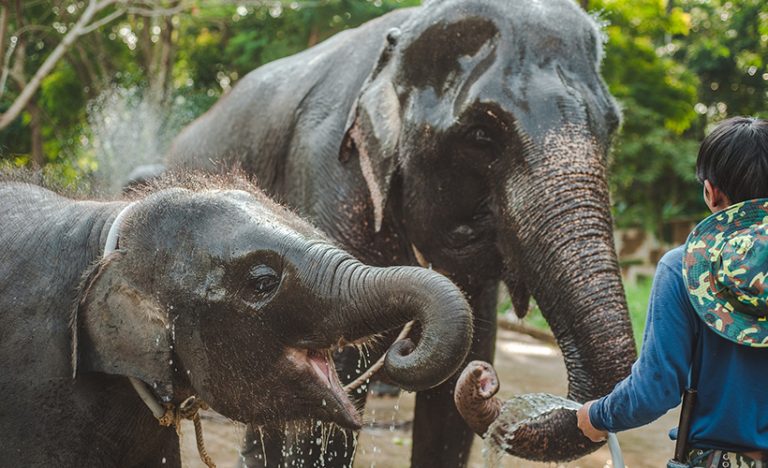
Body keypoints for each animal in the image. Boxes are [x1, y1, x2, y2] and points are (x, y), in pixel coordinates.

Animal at [164, 0, 638, 465]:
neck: (404, 32)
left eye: (612, 127)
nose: (486, 382)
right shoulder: (329, 170)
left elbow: (450, 406)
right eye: (481, 134)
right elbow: (318, 404)